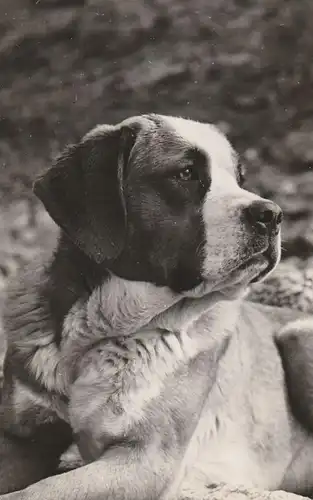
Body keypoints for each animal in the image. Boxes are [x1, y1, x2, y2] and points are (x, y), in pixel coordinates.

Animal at [0, 114, 312, 500]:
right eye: (186, 173)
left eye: (240, 179)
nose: (272, 213)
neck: (96, 331)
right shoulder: (21, 440)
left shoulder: (145, 458)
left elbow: (35, 492)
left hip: (298, 337)